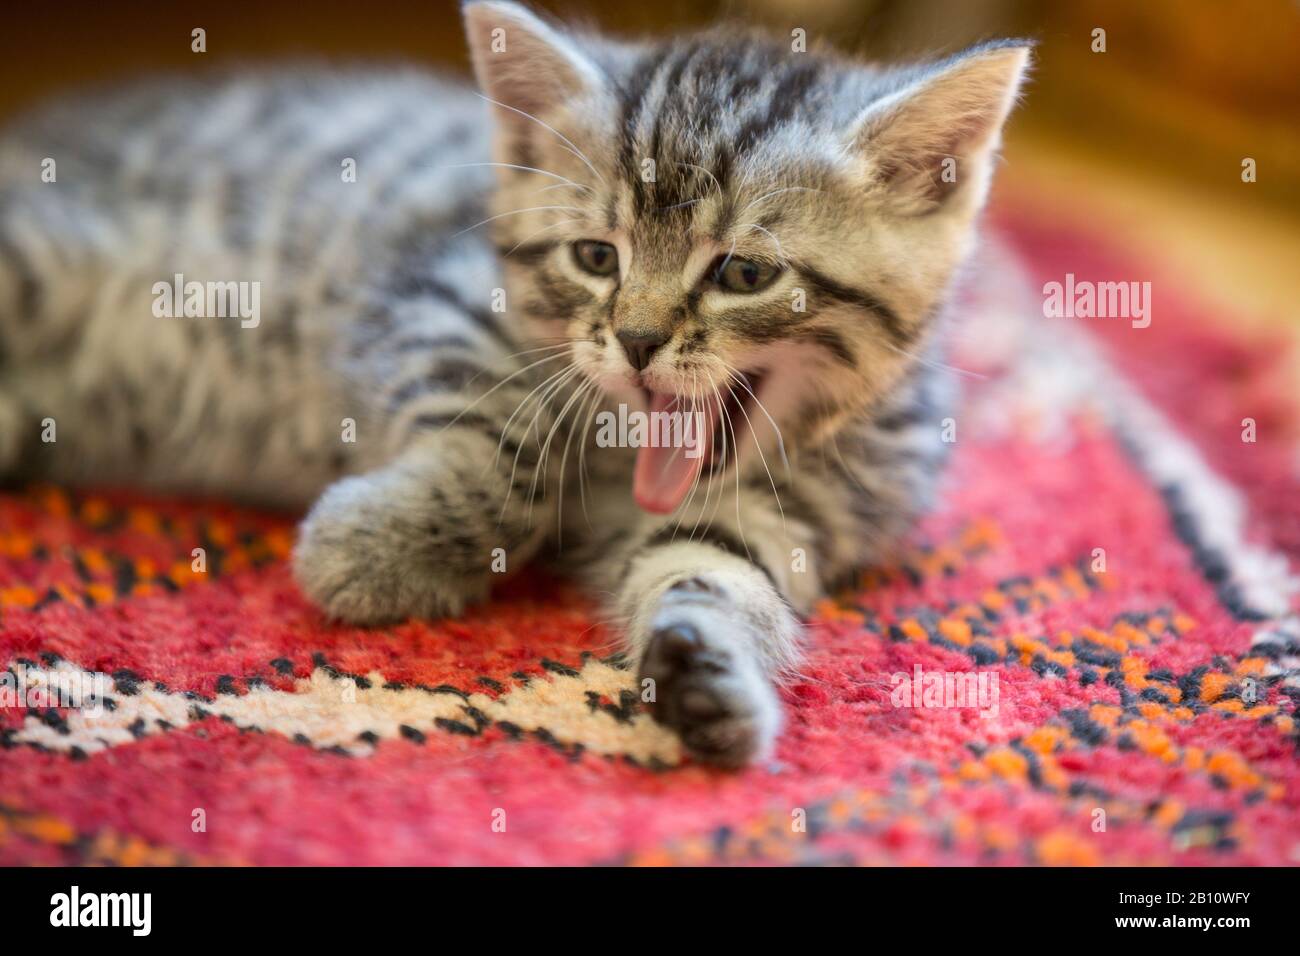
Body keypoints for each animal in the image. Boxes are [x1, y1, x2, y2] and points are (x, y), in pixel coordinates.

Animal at [0, 0, 1029, 764]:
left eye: (743, 273)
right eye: (595, 258)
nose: (638, 340)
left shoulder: (794, 516)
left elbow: (716, 568)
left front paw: (710, 670)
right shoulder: (441, 302)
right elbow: (508, 459)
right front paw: (371, 547)